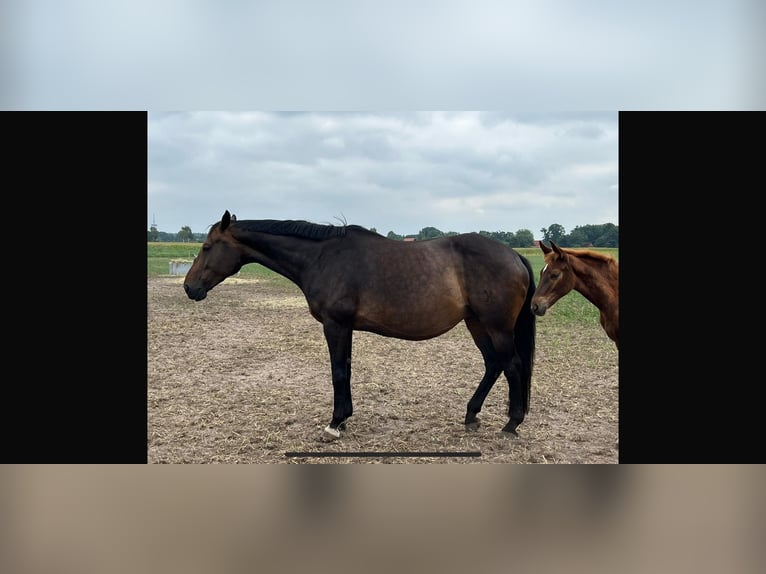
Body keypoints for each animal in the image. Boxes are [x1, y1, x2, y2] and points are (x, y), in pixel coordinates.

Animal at [184, 212, 536, 440]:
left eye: (206, 247)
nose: (190, 287)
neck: (323, 257)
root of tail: (514, 255)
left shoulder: (336, 325)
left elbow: (339, 371)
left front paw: (334, 424)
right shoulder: (345, 327)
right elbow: (348, 369)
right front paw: (343, 420)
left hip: (497, 327)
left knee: (512, 365)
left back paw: (511, 425)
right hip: (476, 323)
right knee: (493, 364)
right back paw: (471, 416)